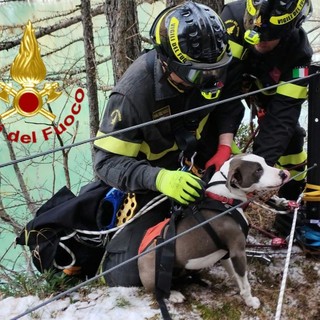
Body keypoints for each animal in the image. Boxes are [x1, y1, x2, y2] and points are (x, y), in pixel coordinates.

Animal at [138, 154, 290, 308]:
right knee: (158, 291)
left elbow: (235, 274)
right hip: (155, 275)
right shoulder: (238, 251)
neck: (225, 200)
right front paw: (251, 301)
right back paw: (174, 295)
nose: (284, 173)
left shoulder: (227, 253)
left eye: (264, 162)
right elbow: (245, 284)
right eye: (258, 170)